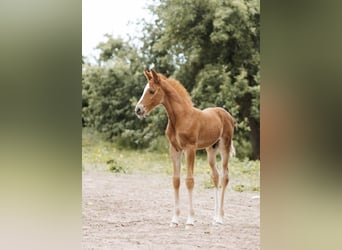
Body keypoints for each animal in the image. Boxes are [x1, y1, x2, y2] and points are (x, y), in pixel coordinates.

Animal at [134, 68, 235, 227]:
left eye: (151, 91)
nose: (138, 110)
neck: (180, 117)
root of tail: (227, 115)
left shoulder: (190, 149)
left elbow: (189, 181)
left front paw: (190, 219)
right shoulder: (175, 149)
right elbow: (176, 181)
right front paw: (175, 219)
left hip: (225, 147)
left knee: (225, 177)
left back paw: (220, 218)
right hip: (211, 150)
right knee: (215, 176)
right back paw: (214, 217)